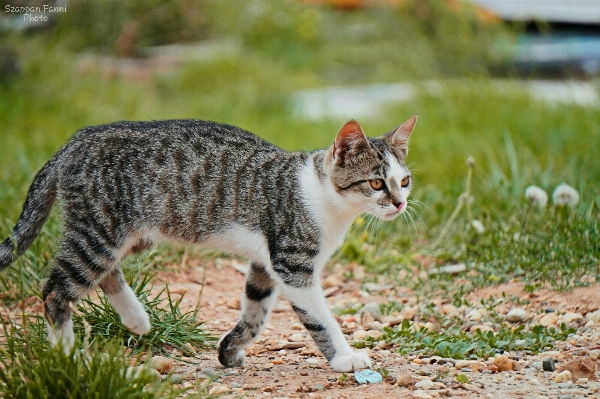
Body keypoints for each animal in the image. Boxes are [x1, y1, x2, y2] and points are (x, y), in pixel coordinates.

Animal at [0, 116, 414, 376]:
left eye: (405, 181)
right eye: (377, 183)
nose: (399, 203)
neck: (327, 199)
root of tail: (76, 141)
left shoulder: (266, 264)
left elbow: (255, 312)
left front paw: (230, 350)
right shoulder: (294, 265)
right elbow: (320, 318)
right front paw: (345, 357)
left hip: (129, 235)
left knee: (104, 272)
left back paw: (136, 319)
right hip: (100, 230)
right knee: (56, 290)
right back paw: (68, 355)